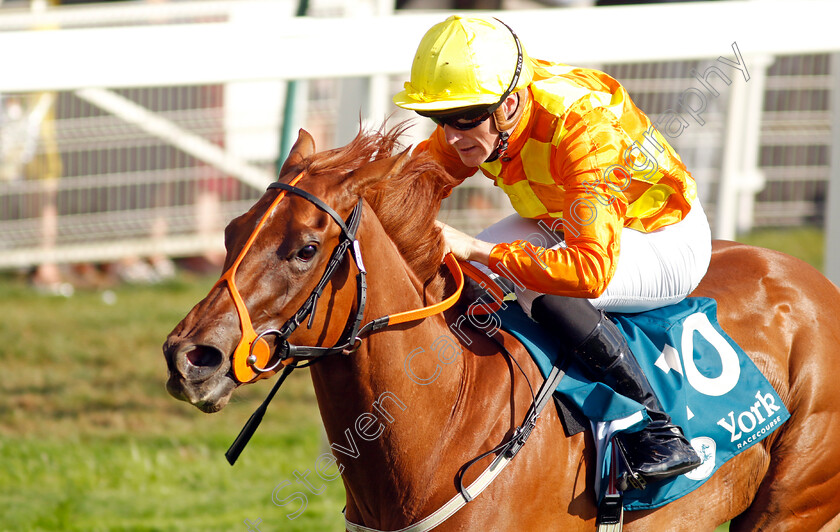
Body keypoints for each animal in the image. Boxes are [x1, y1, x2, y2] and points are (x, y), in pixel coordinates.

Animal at [162, 127, 840, 528]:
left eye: (305, 249)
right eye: (231, 232)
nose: (190, 356)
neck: (446, 423)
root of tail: (814, 284)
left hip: (795, 504)